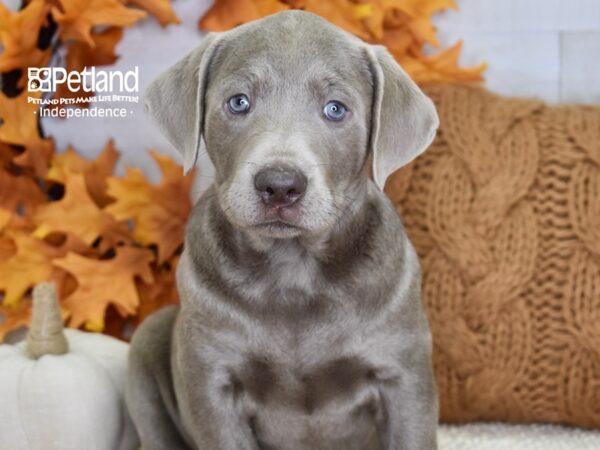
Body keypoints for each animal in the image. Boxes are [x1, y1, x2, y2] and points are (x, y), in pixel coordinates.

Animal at [126, 7, 438, 450]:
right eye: (239, 102)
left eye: (336, 109)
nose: (279, 185)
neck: (293, 268)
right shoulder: (211, 382)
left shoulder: (403, 374)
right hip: (150, 336)